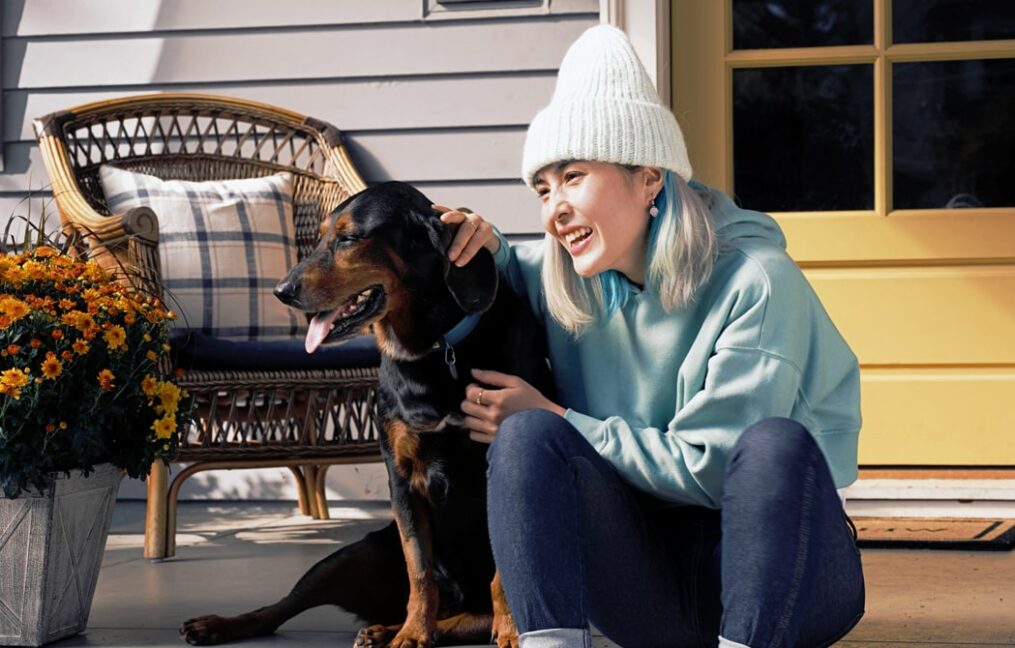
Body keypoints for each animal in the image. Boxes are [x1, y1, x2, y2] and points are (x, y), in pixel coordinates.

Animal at [178, 180, 552, 645]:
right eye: (320, 236)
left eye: (350, 238)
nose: (282, 290)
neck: (434, 351)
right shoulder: (402, 481)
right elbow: (418, 568)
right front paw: (412, 633)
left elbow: (504, 571)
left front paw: (513, 631)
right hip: (352, 554)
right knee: (281, 607)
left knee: (467, 616)